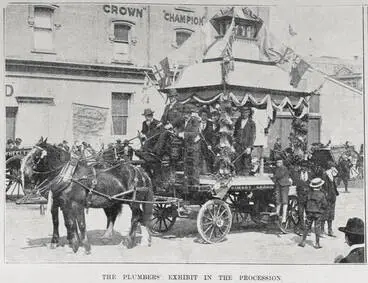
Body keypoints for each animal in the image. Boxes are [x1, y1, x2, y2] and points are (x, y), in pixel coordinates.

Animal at [21, 138, 154, 255]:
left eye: (36, 156)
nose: (23, 172)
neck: (70, 176)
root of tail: (140, 171)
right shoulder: (64, 204)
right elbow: (68, 223)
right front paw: (73, 245)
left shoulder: (77, 204)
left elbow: (81, 224)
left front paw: (85, 246)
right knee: (137, 216)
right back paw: (143, 239)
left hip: (134, 201)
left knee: (136, 217)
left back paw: (129, 241)